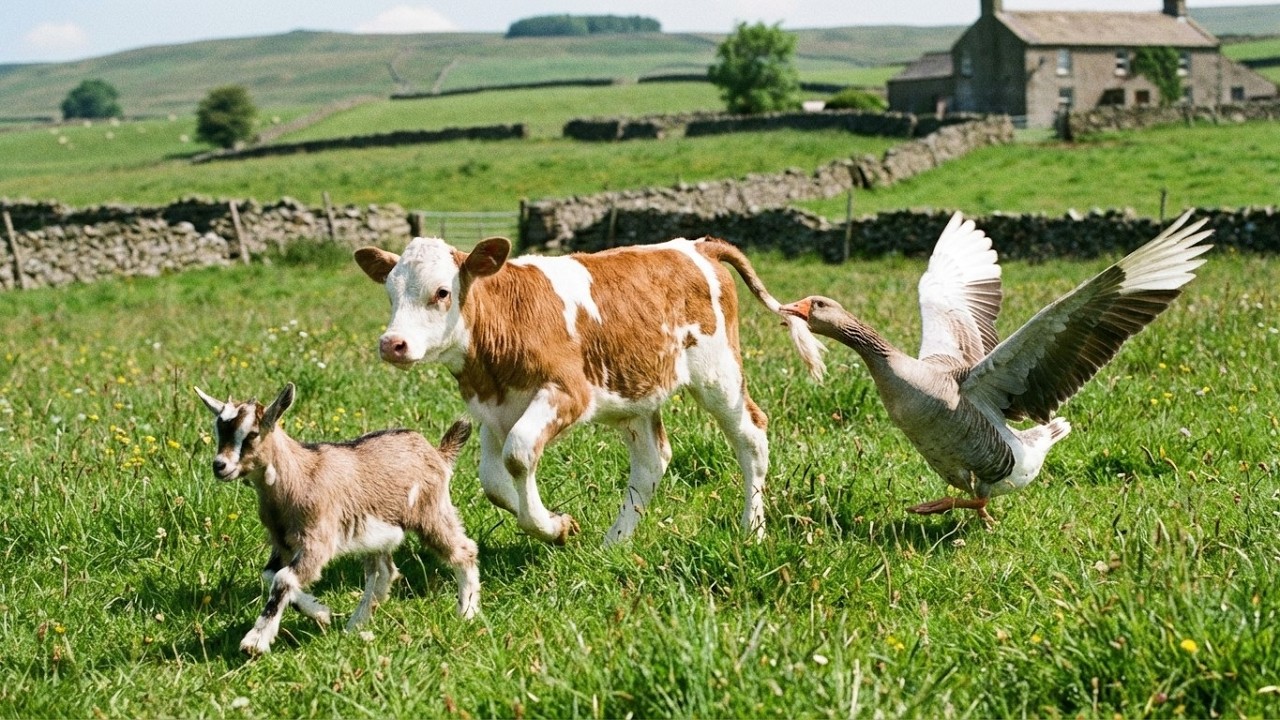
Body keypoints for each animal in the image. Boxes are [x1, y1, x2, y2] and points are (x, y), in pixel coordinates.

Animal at [354, 235, 823, 545]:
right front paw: (560, 522)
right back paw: (615, 542)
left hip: (718, 374)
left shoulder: (567, 392)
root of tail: (695, 245)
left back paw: (752, 529)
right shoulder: (494, 410)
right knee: (652, 462)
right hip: (635, 396)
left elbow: (518, 455)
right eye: (390, 294)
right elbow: (492, 480)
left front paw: (549, 526)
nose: (393, 343)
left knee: (751, 436)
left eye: (442, 292)